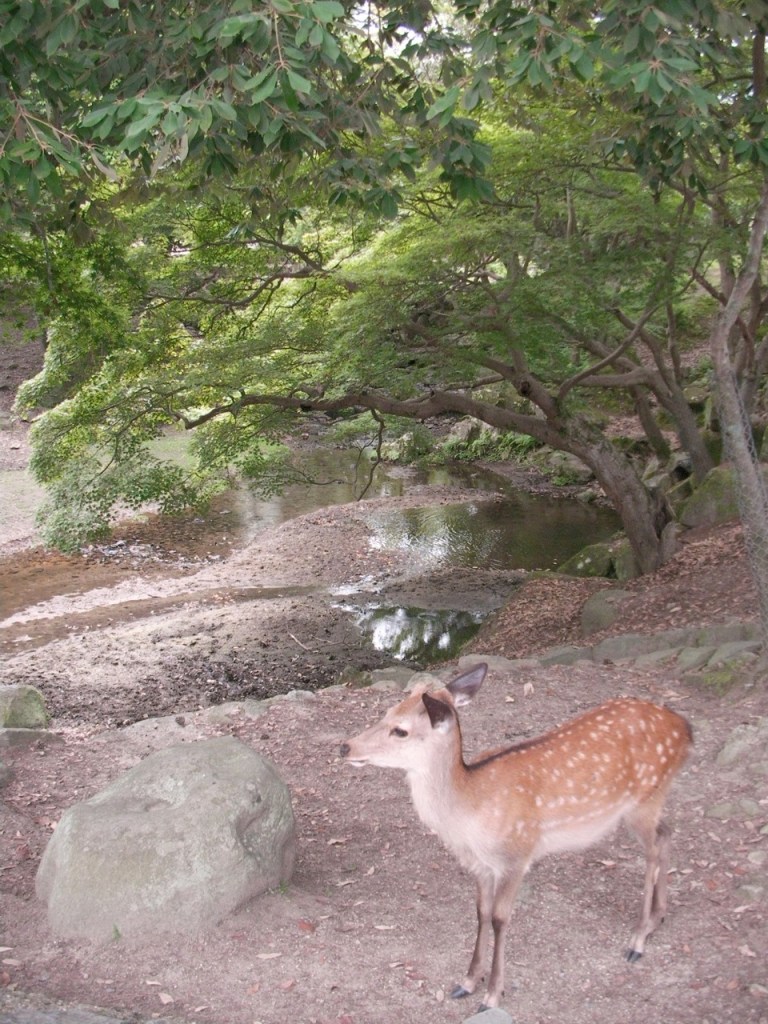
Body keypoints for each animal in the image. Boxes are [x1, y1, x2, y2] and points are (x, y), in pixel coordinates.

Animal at [339, 662, 692, 1010]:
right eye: (386, 712)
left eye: (400, 730)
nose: (345, 746)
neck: (468, 813)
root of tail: (685, 728)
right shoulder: (480, 865)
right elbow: (480, 911)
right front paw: (467, 981)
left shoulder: (517, 856)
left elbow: (499, 918)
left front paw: (492, 994)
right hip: (649, 803)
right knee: (666, 833)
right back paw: (658, 917)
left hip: (644, 799)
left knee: (653, 849)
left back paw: (638, 940)